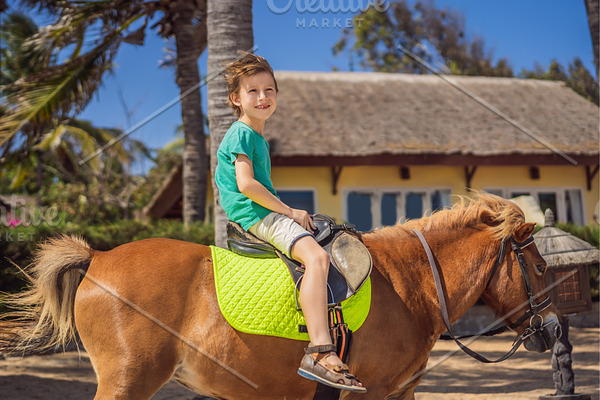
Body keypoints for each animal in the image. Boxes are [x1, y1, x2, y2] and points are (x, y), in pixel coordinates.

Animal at [1, 192, 564, 398]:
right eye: (539, 266)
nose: (556, 329)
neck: (409, 284)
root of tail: (97, 258)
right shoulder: (374, 395)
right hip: (127, 381)